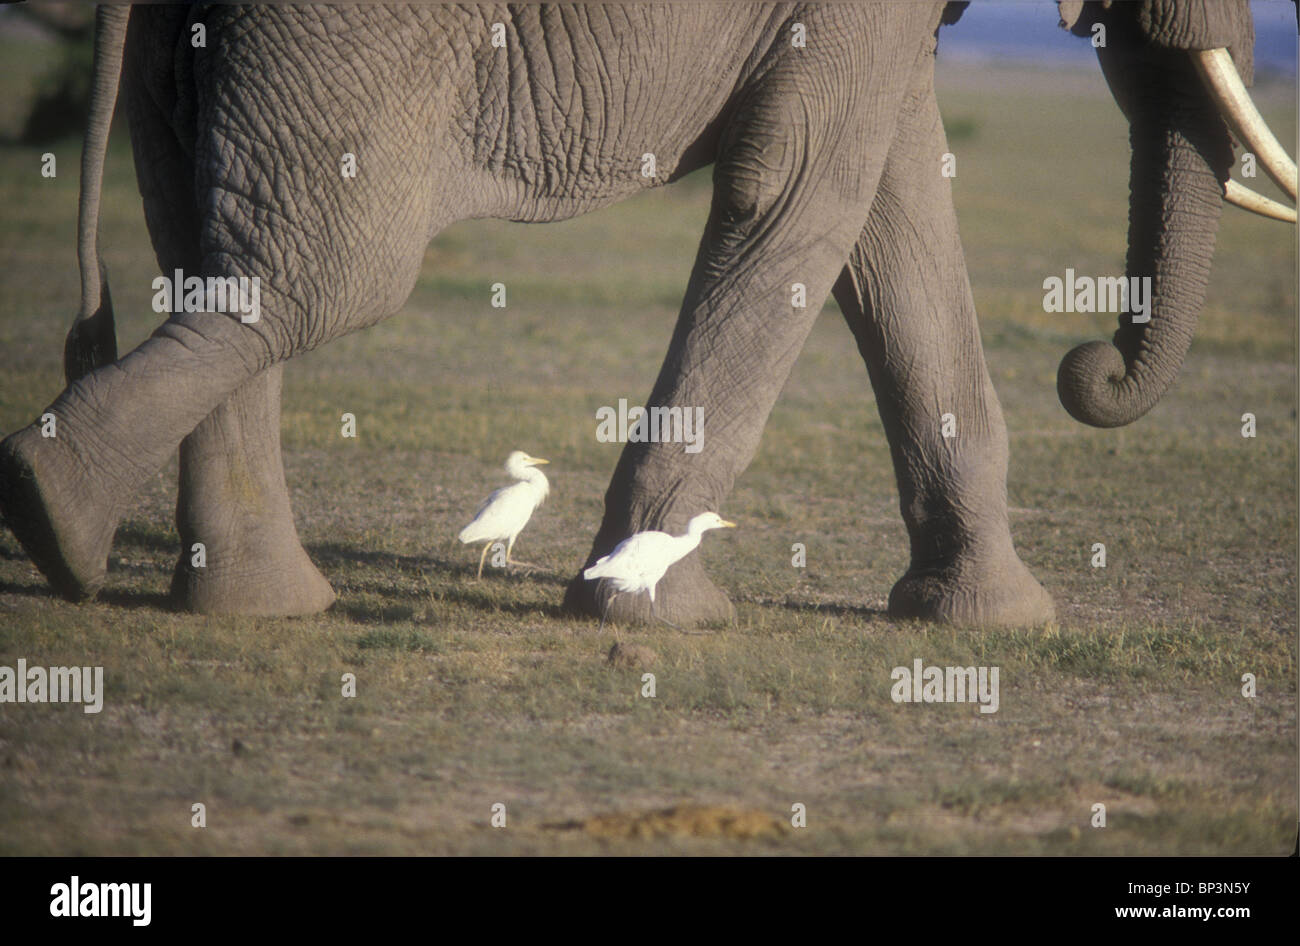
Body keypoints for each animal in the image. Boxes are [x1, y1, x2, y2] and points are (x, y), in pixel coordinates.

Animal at [0, 7, 1294, 631]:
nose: (1088, 367)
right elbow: (807, 188)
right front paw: (654, 609)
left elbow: (894, 201)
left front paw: (991, 622)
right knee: (323, 274)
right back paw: (53, 512)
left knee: (201, 244)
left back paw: (224, 591)